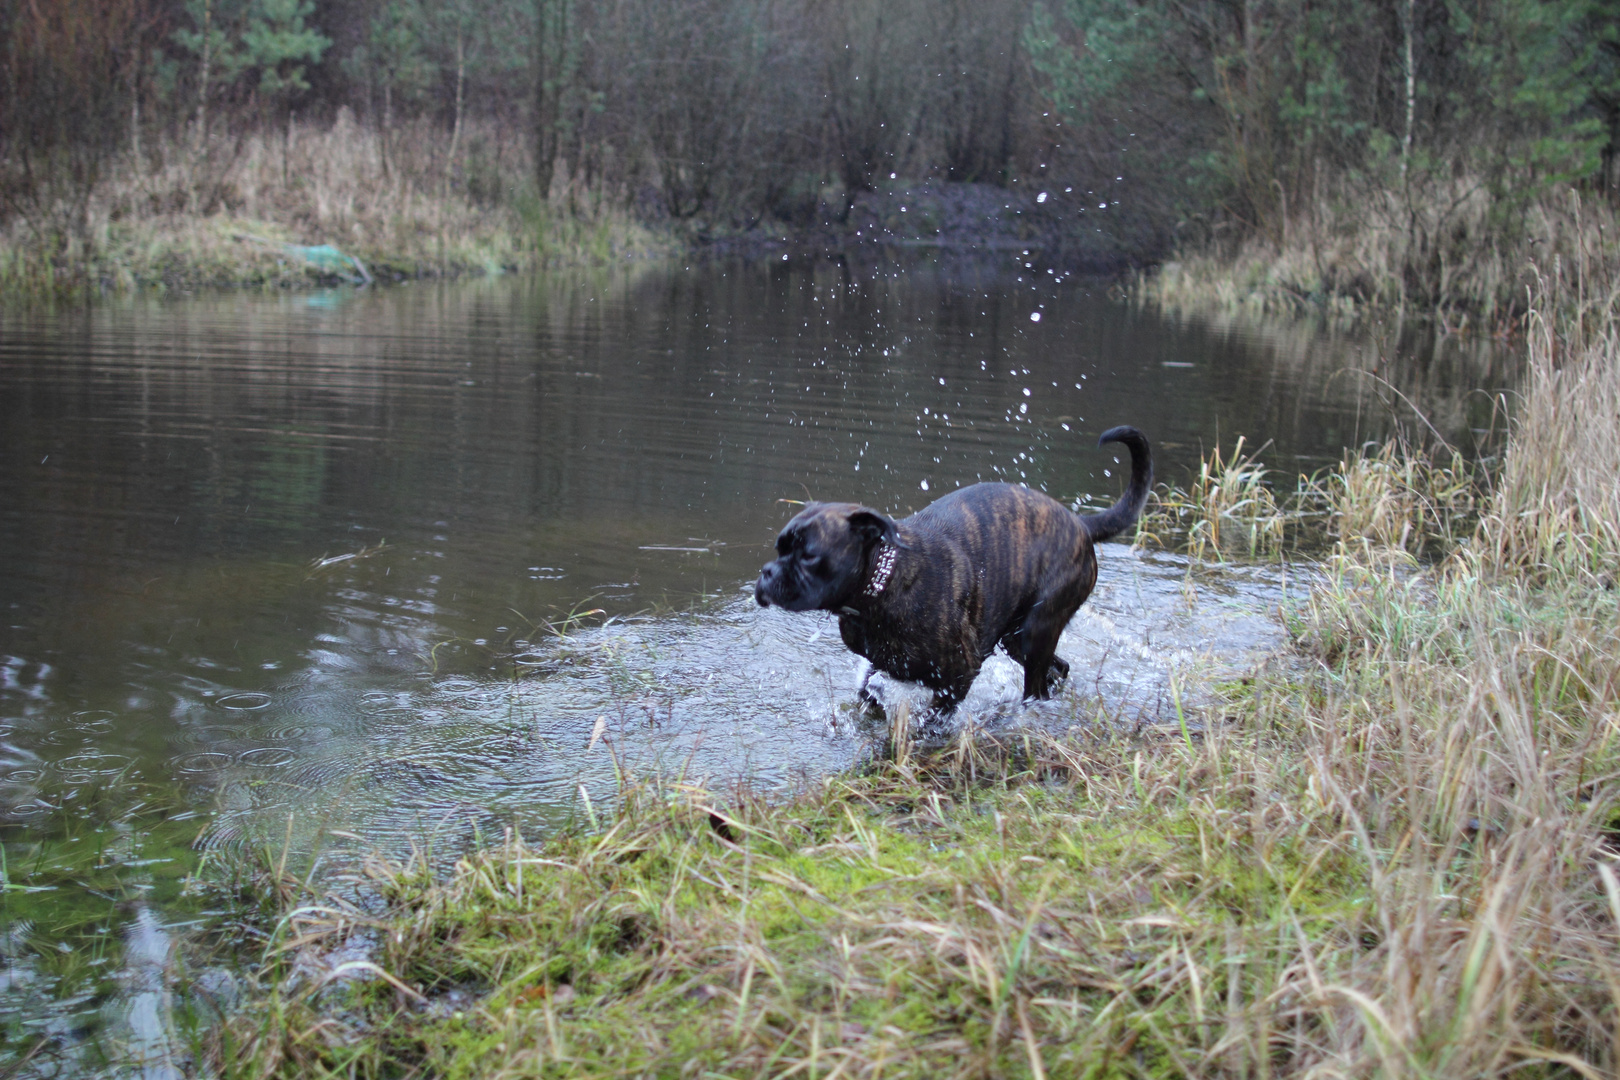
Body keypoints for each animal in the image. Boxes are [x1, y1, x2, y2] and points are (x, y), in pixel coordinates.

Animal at [754, 427, 1153, 712]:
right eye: (779, 549)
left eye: (808, 555)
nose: (766, 573)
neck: (885, 584)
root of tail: (1081, 524)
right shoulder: (882, 662)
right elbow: (868, 690)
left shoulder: (958, 676)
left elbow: (932, 718)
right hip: (1017, 637)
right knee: (1059, 668)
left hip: (1038, 628)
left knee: (1037, 687)